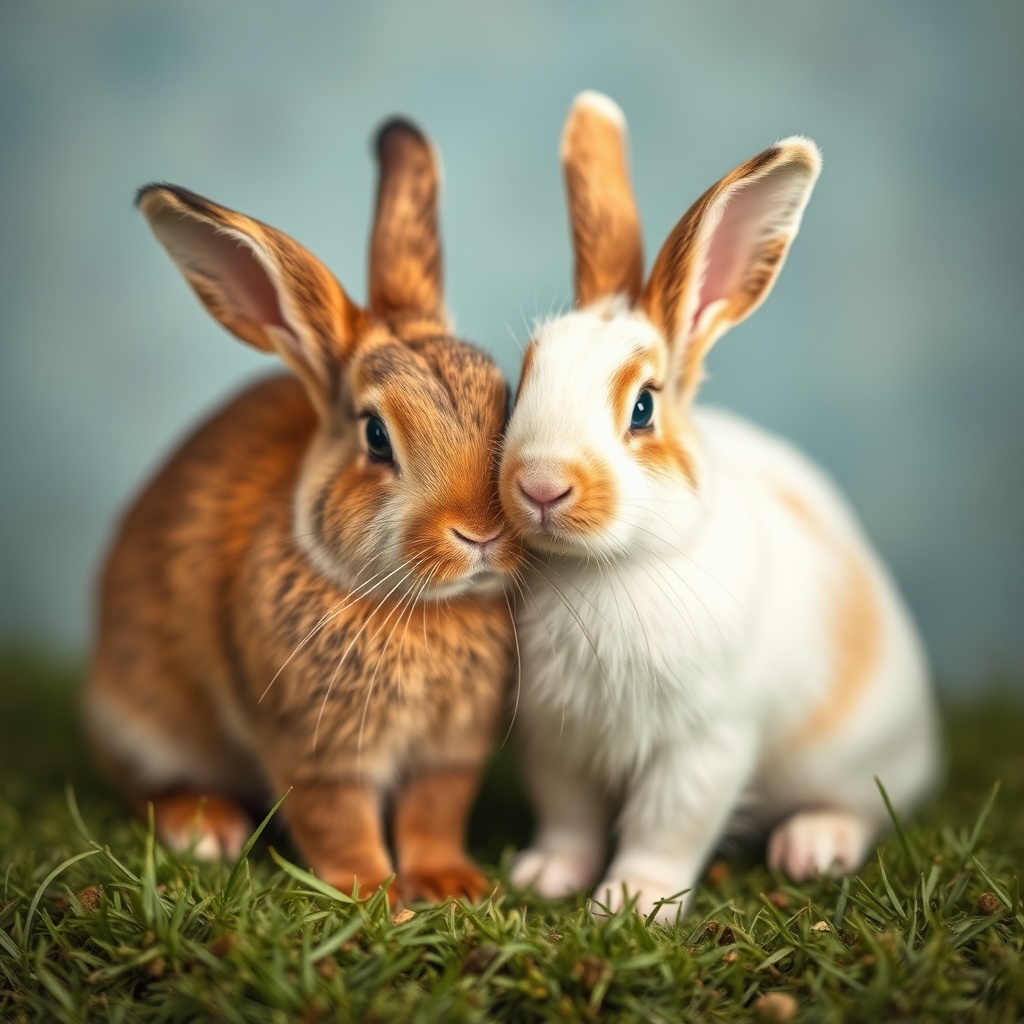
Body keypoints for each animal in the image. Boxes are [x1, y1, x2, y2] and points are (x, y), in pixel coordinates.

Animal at [85, 118, 521, 905]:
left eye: (507, 403)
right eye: (376, 437)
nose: (483, 532)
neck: (416, 606)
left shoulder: (449, 752)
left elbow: (433, 813)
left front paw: (452, 885)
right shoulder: (314, 750)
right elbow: (337, 820)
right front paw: (375, 896)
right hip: (143, 714)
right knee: (141, 785)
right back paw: (204, 826)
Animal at [499, 92, 941, 922]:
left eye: (643, 407)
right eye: (521, 384)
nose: (539, 484)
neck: (602, 567)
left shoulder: (705, 742)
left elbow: (667, 827)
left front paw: (631, 903)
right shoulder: (557, 741)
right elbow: (569, 819)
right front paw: (544, 878)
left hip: (850, 754)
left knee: (870, 806)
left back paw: (813, 846)